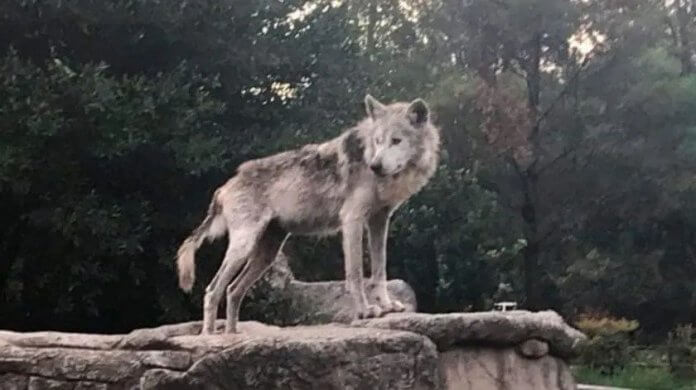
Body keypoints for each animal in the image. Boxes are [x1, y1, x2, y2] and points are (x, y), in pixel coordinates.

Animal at [178, 93, 440, 332]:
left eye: (396, 141)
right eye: (378, 141)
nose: (375, 165)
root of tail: (225, 186)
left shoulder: (379, 220)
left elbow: (379, 270)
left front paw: (386, 306)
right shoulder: (352, 220)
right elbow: (355, 273)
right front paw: (365, 311)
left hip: (266, 255)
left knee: (233, 291)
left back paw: (233, 335)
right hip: (242, 248)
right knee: (213, 290)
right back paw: (211, 337)